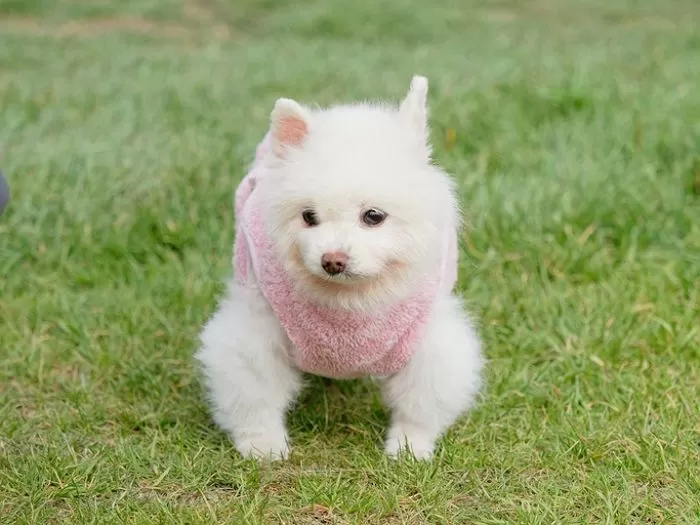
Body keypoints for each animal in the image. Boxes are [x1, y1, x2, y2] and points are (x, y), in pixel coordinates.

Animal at [194, 73, 484, 458]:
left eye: (373, 216)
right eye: (308, 216)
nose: (332, 260)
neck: (349, 303)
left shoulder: (428, 339)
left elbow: (420, 400)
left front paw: (409, 446)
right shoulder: (256, 327)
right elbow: (255, 390)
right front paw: (262, 444)